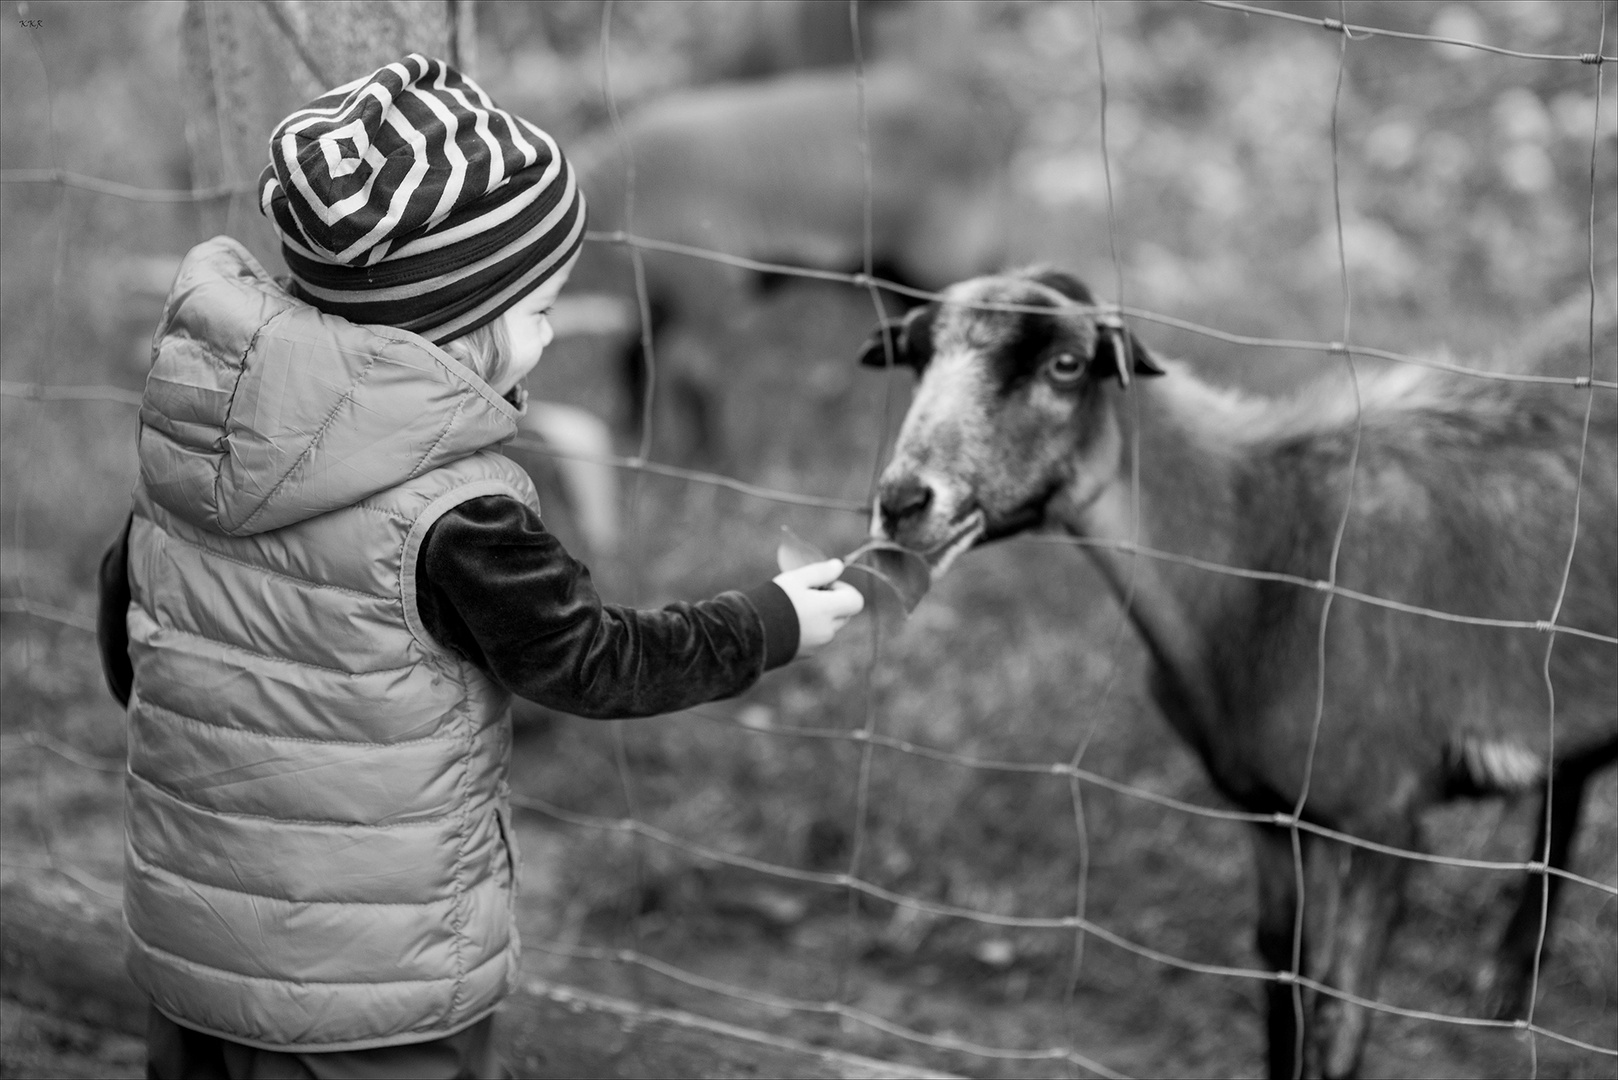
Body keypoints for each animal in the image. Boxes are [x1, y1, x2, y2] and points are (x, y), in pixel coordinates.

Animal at [572, 63, 1009, 459]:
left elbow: (694, 376)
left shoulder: (707, 285)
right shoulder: (665, 292)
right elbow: (635, 355)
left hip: (938, 252)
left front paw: (715, 461)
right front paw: (633, 440)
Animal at [854, 268, 1611, 1080]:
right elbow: (1281, 987)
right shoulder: (1268, 811)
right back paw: (1511, 986)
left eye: (1066, 365)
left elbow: (1336, 1024)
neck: (1259, 548)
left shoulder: (1385, 815)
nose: (902, 502)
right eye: (916, 358)